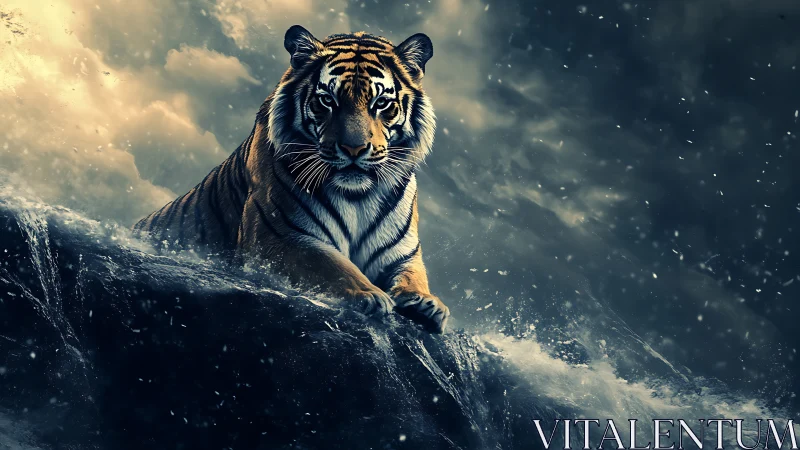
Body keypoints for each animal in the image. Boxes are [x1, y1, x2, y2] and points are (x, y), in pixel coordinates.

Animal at [132, 25, 450, 332]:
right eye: (327, 100)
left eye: (381, 103)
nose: (354, 149)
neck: (358, 196)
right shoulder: (278, 235)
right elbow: (332, 264)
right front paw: (369, 294)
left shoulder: (401, 252)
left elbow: (413, 275)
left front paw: (426, 302)